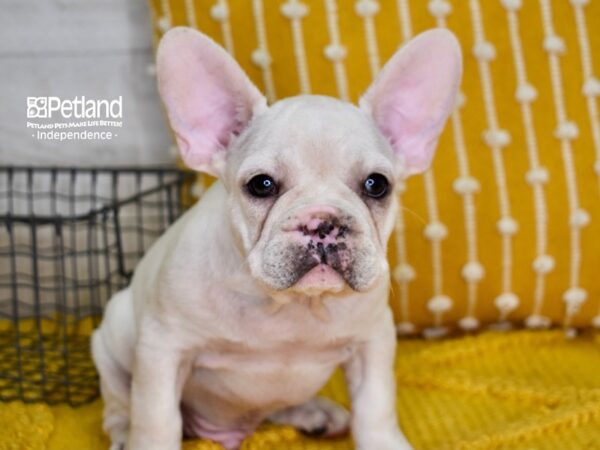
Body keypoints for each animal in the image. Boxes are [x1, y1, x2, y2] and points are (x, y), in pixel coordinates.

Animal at [91, 25, 462, 450]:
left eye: (377, 184)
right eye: (261, 184)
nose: (322, 222)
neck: (290, 305)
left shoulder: (373, 342)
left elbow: (376, 407)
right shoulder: (163, 348)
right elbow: (156, 419)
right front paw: (145, 436)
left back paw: (315, 413)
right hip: (112, 336)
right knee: (119, 401)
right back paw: (123, 432)